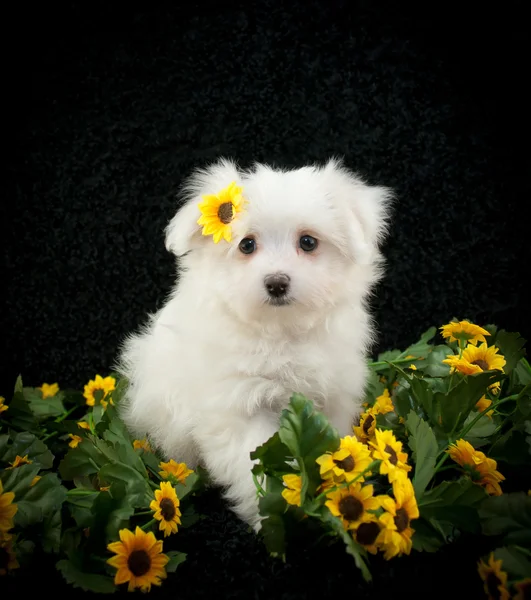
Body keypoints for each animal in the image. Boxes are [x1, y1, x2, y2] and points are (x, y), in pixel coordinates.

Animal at [118, 158, 392, 528]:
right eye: (247, 245)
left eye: (308, 242)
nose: (276, 282)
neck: (280, 332)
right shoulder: (240, 405)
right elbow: (254, 464)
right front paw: (269, 514)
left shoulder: (332, 396)